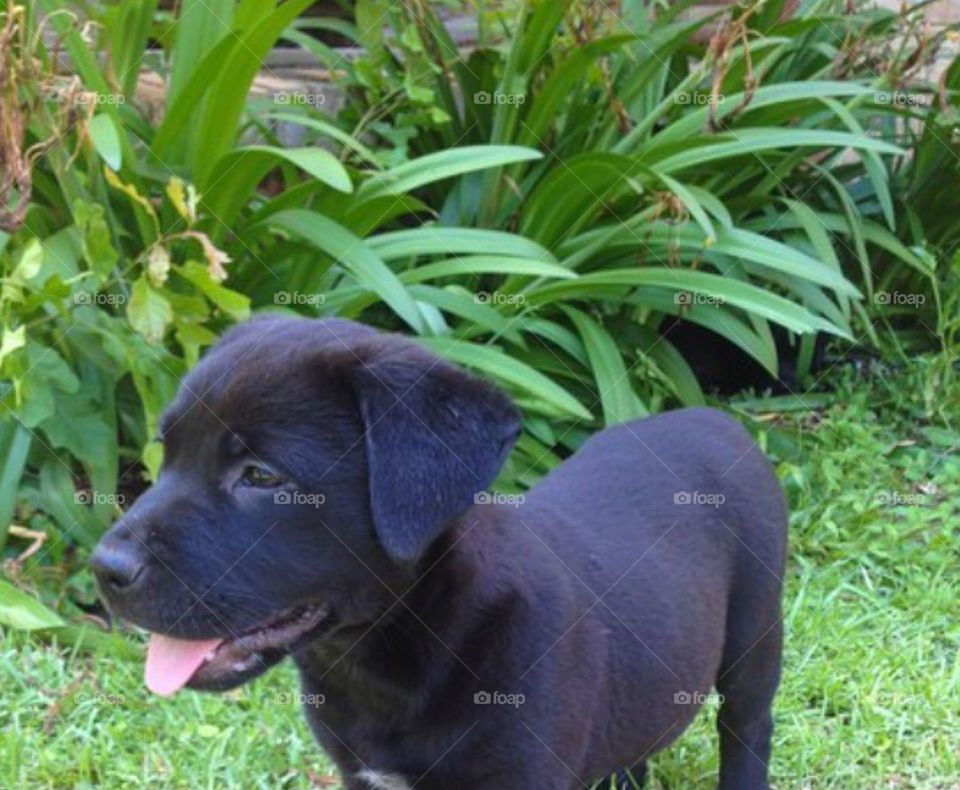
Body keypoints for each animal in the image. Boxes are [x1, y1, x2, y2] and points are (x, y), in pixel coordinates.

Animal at [90, 316, 784, 790]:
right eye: (166, 454)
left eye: (261, 476)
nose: (104, 570)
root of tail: (712, 418)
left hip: (755, 636)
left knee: (746, 729)